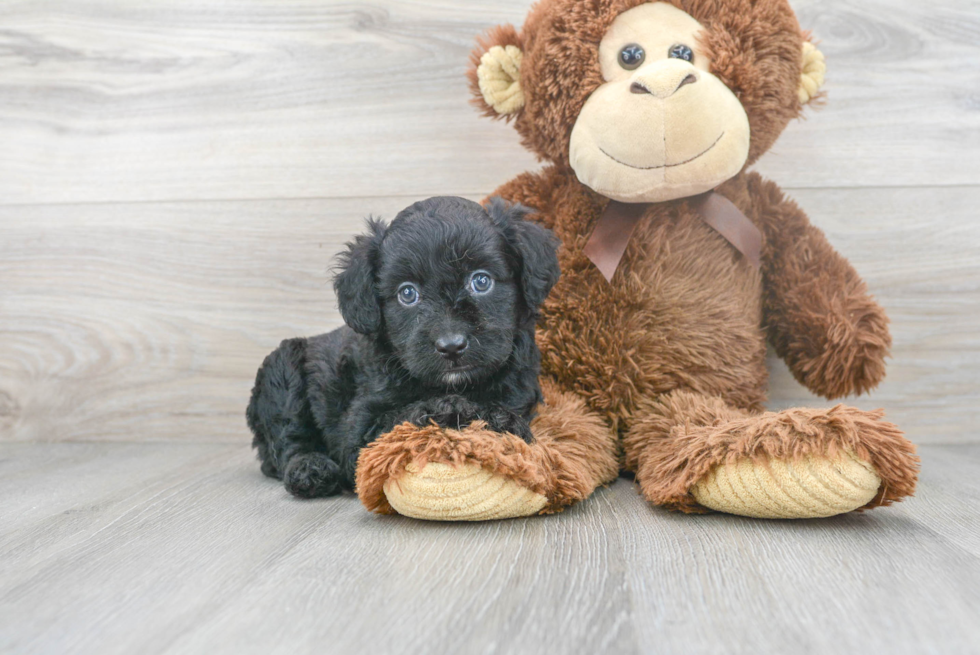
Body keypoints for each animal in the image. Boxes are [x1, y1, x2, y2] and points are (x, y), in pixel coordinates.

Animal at [245, 195, 560, 498]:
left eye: (481, 281)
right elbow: (398, 419)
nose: (451, 346)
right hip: (283, 367)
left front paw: (502, 420)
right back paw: (310, 469)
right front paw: (452, 407)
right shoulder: (360, 430)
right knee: (288, 438)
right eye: (407, 294)